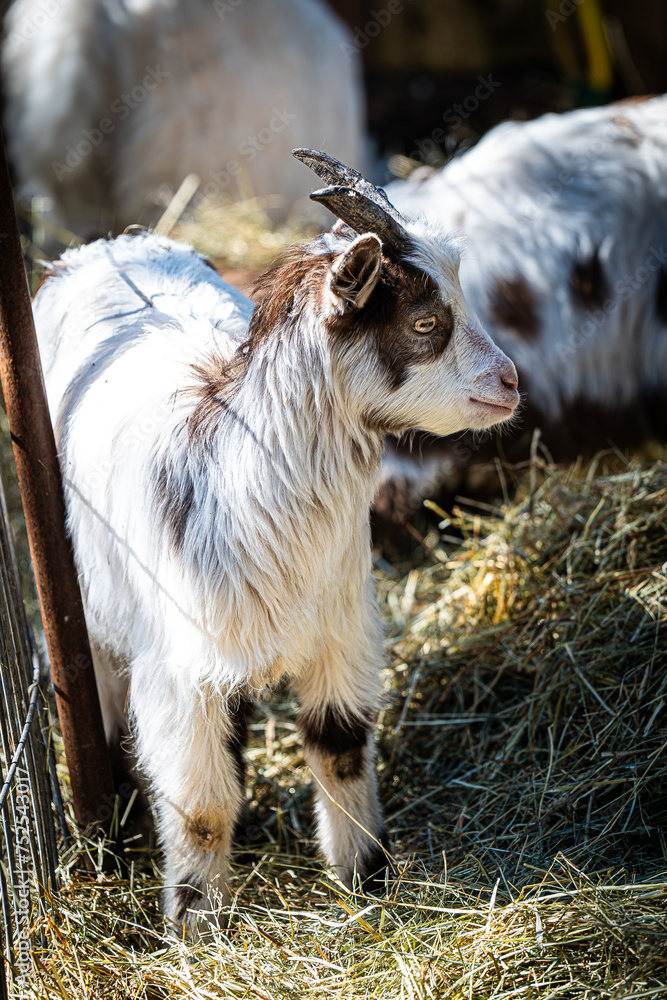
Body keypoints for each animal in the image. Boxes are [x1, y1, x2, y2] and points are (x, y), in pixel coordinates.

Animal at [33, 149, 519, 934]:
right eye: (425, 321)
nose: (508, 383)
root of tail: (97, 248)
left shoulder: (338, 633)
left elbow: (340, 749)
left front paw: (366, 886)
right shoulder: (180, 672)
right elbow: (199, 808)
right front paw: (194, 930)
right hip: (96, 608)